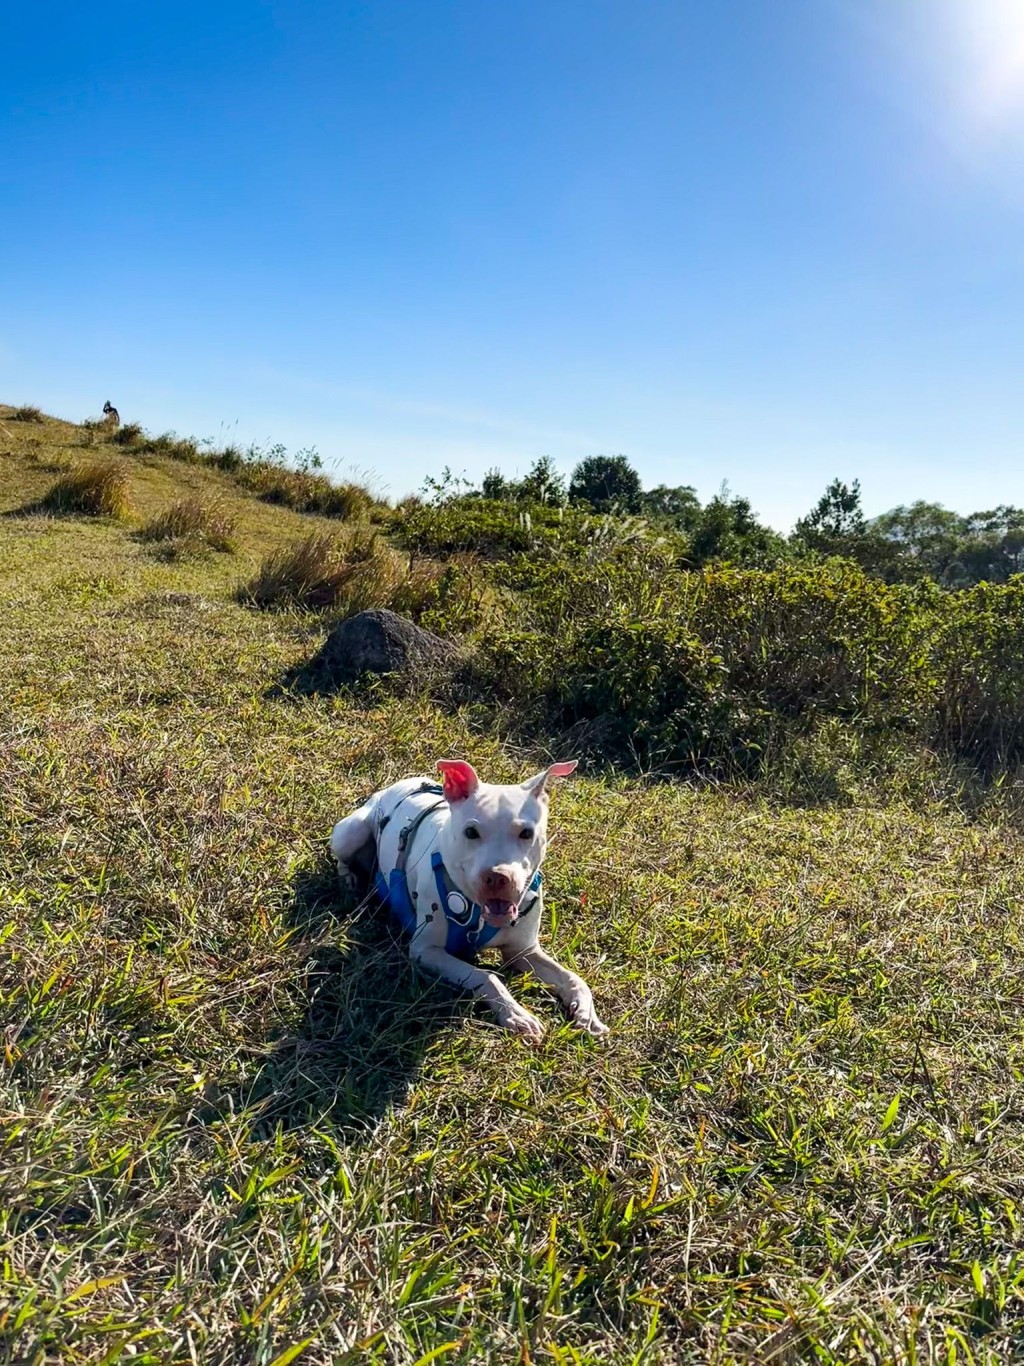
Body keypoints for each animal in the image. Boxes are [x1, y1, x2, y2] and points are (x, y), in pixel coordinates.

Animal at [333, 764, 608, 1038]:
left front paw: (587, 1013)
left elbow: (573, 978)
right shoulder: (426, 951)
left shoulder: (523, 951)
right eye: (471, 832)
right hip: (350, 833)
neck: (478, 914)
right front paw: (516, 1014)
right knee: (341, 857)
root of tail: (399, 784)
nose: (497, 877)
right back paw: (349, 879)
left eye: (526, 833)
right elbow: (485, 975)